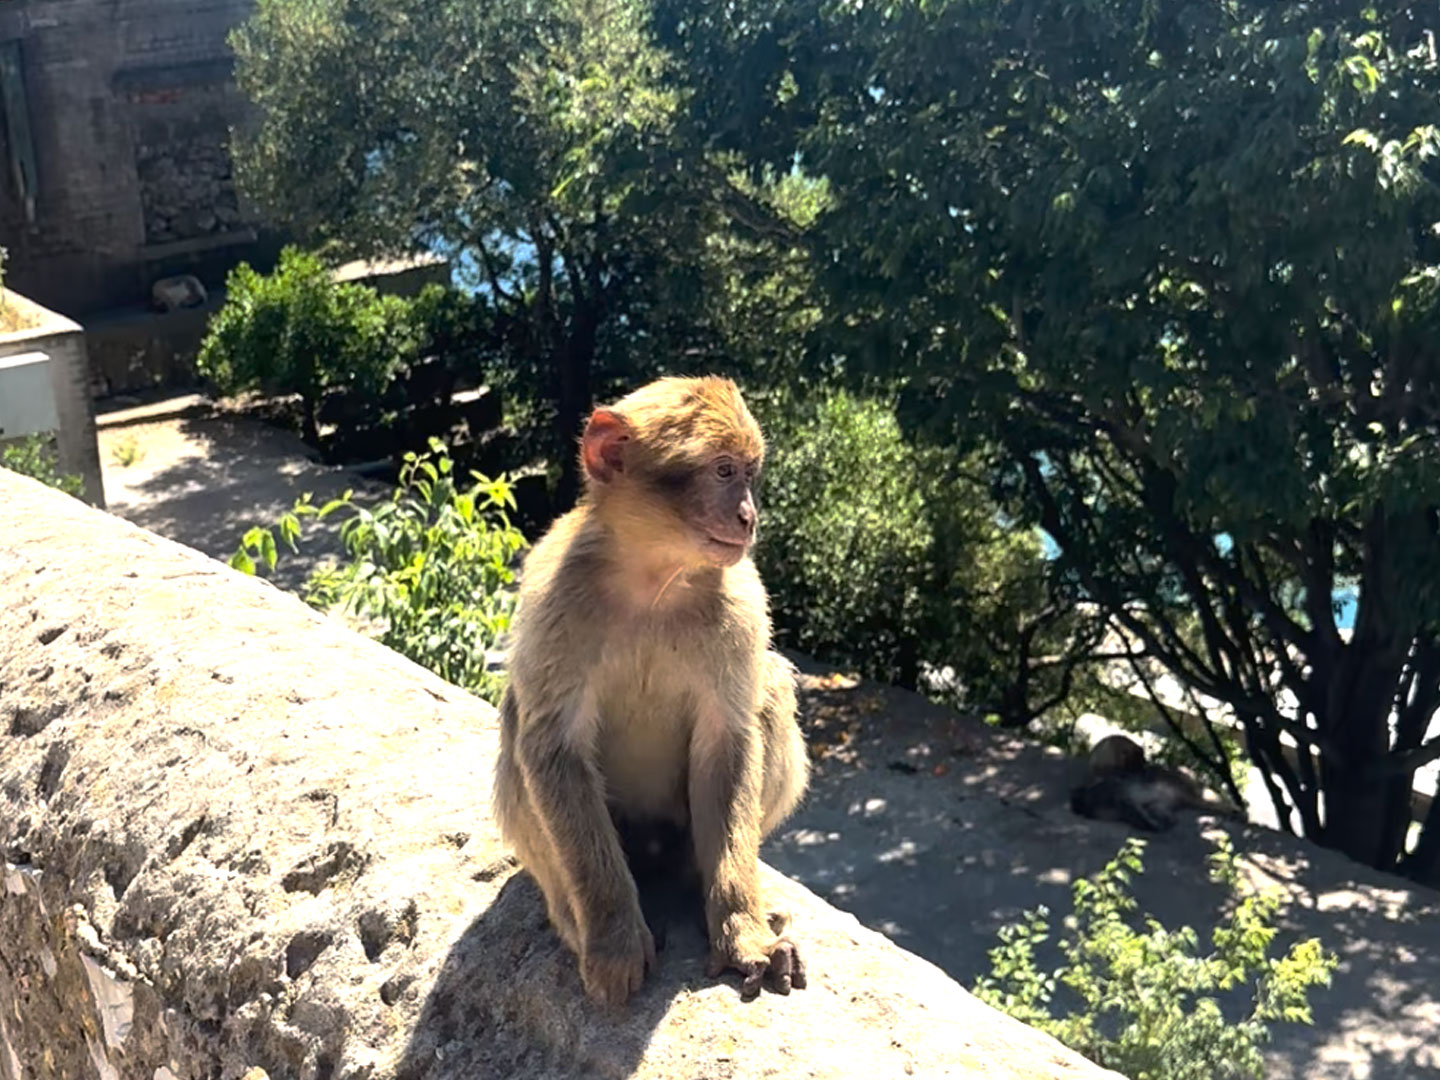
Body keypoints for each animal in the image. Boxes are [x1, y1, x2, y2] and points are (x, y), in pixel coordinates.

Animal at [493, 375, 810, 1007]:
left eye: (748, 472)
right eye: (721, 471)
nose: (748, 517)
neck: (653, 580)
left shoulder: (742, 603)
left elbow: (728, 740)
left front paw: (742, 931)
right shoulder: (553, 600)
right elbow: (553, 748)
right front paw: (613, 938)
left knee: (770, 687)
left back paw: (706, 891)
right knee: (521, 722)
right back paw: (574, 919)